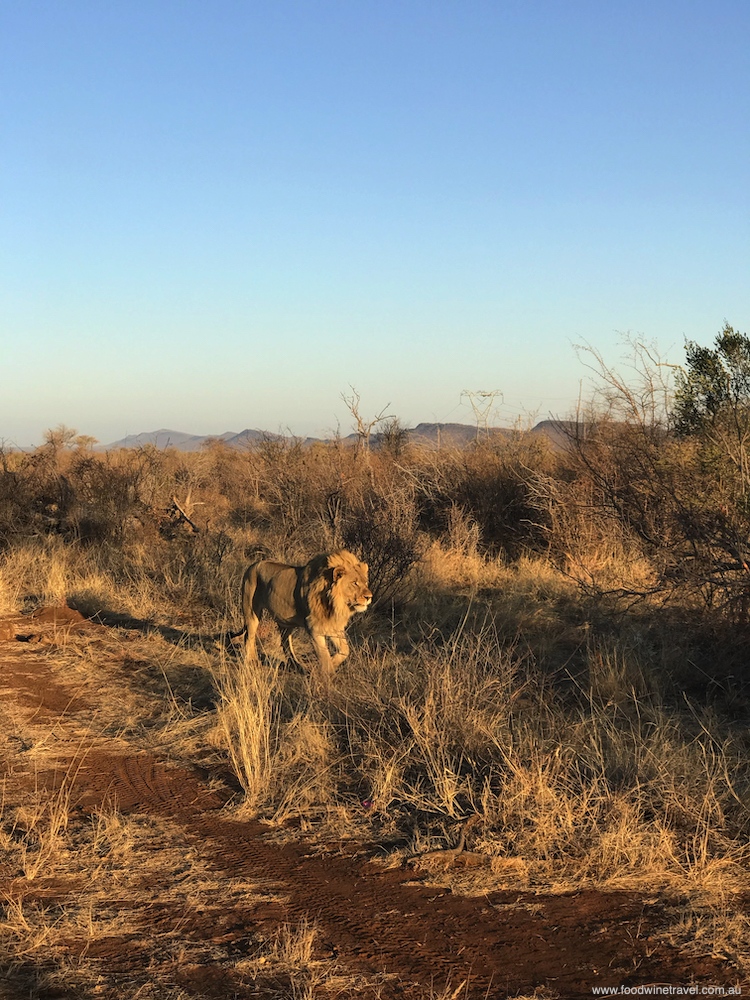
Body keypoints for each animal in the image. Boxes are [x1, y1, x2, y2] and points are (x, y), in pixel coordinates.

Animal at [241, 552, 374, 676]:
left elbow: (345, 650)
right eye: (355, 583)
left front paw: (333, 663)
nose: (369, 597)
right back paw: (252, 662)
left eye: (366, 582)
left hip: (285, 622)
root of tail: (252, 565)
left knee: (286, 643)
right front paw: (327, 675)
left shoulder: (334, 626)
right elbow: (324, 655)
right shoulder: (313, 627)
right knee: (249, 637)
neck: (335, 604)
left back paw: (297, 666)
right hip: (251, 612)